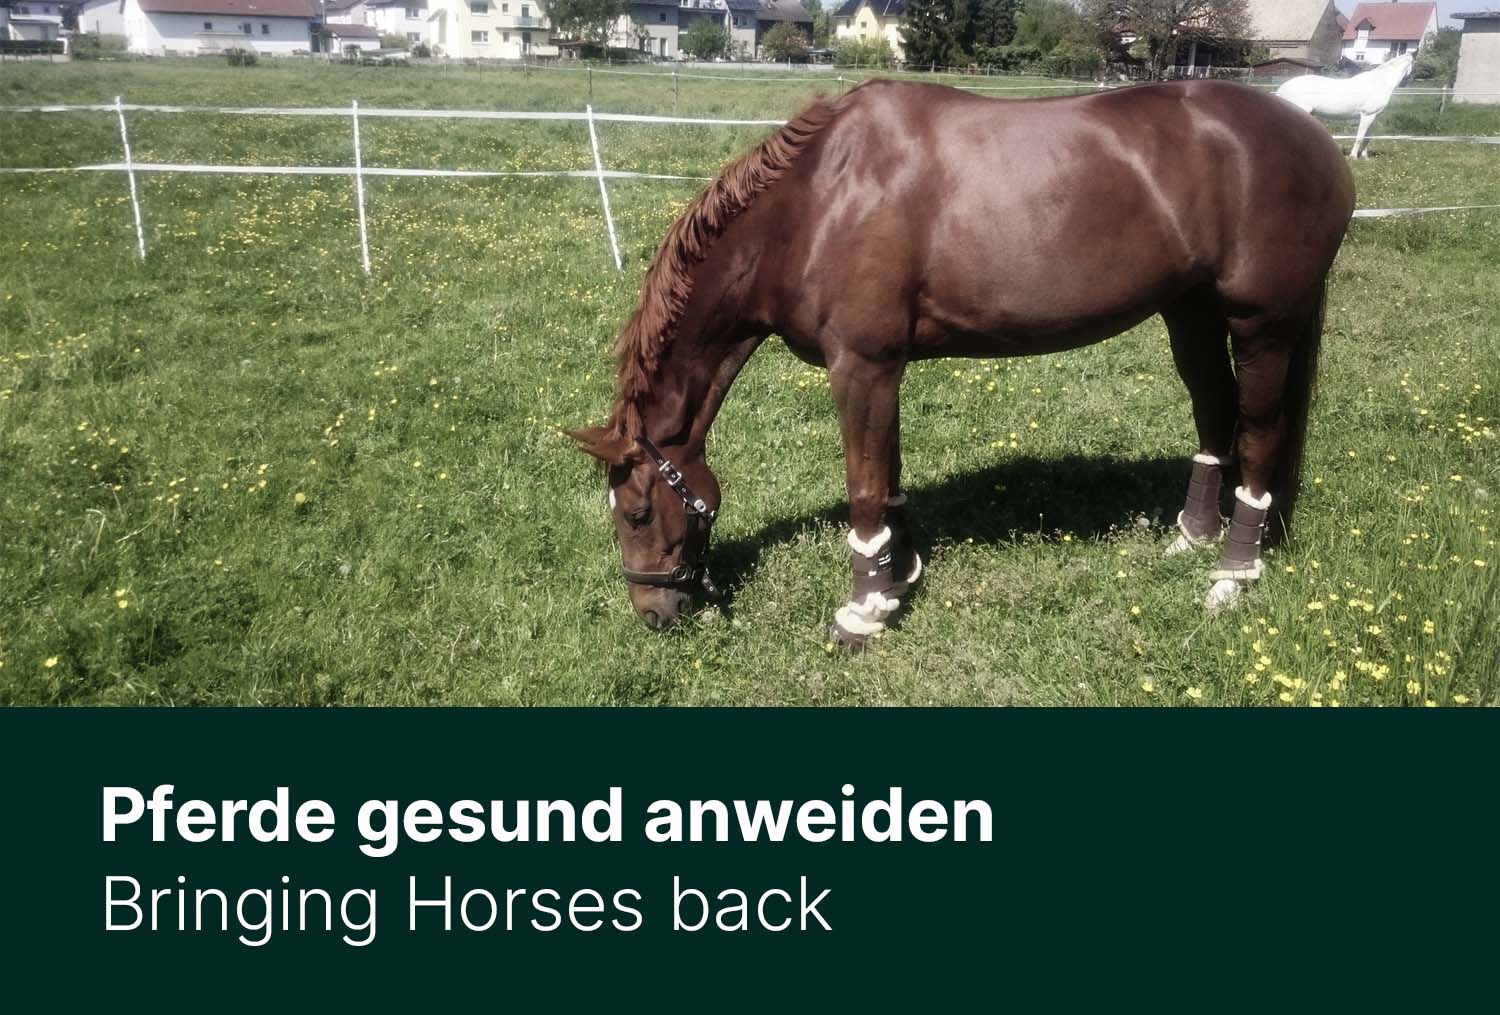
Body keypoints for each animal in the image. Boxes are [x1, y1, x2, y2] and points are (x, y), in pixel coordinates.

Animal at [569, 80, 1354, 647]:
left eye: (637, 511)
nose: (655, 613)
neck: (814, 204)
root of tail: (1318, 141)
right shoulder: (884, 368)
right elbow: (887, 476)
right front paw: (897, 576)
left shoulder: (860, 366)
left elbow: (863, 488)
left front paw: (862, 612)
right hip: (1189, 313)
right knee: (1214, 411)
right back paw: (1193, 538)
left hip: (1263, 325)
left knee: (1259, 433)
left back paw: (1232, 574)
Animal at [1276, 53, 1414, 159]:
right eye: (1412, 66)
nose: (1405, 83)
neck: (1379, 82)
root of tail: (1282, 88)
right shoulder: (1367, 115)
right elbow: (1360, 137)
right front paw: (1353, 157)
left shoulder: (1373, 116)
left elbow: (1367, 137)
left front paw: (1365, 157)